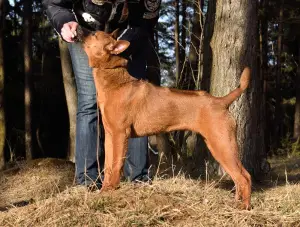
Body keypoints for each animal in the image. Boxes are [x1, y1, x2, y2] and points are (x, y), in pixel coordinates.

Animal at [81, 30, 251, 209]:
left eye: (94, 34)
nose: (79, 29)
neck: (115, 80)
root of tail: (220, 101)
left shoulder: (120, 134)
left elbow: (115, 165)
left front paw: (110, 191)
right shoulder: (110, 136)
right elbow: (108, 166)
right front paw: (104, 190)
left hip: (222, 145)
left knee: (244, 177)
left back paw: (245, 207)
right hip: (218, 145)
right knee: (239, 177)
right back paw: (236, 202)